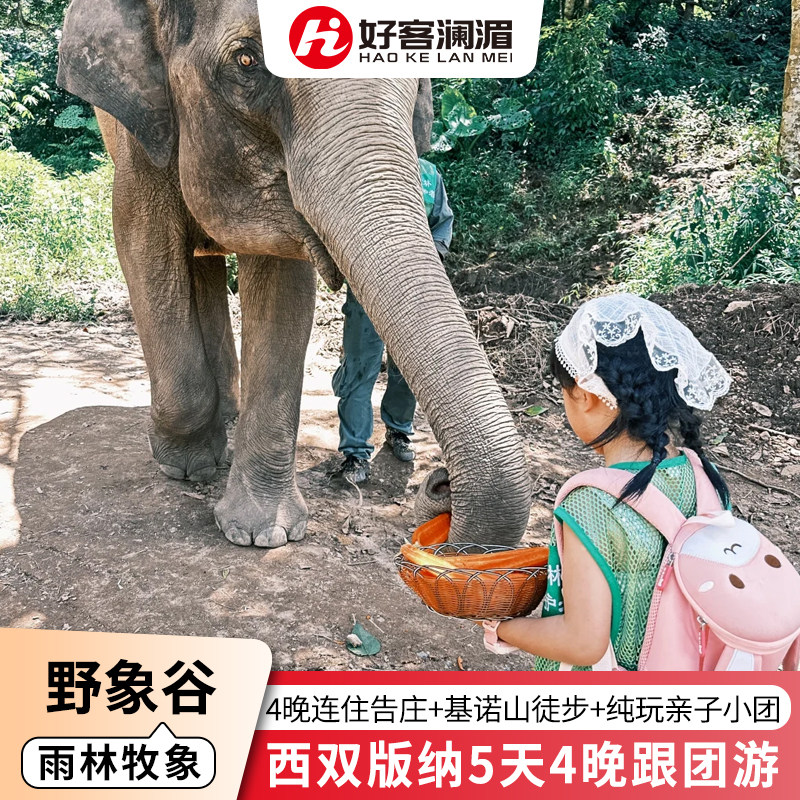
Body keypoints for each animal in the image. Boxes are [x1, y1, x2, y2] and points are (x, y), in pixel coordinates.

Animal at [57, 0, 532, 548]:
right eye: (247, 61)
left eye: (418, 73)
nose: (442, 483)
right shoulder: (139, 135)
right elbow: (139, 236)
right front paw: (185, 464)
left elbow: (283, 284)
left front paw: (265, 535)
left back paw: (230, 417)